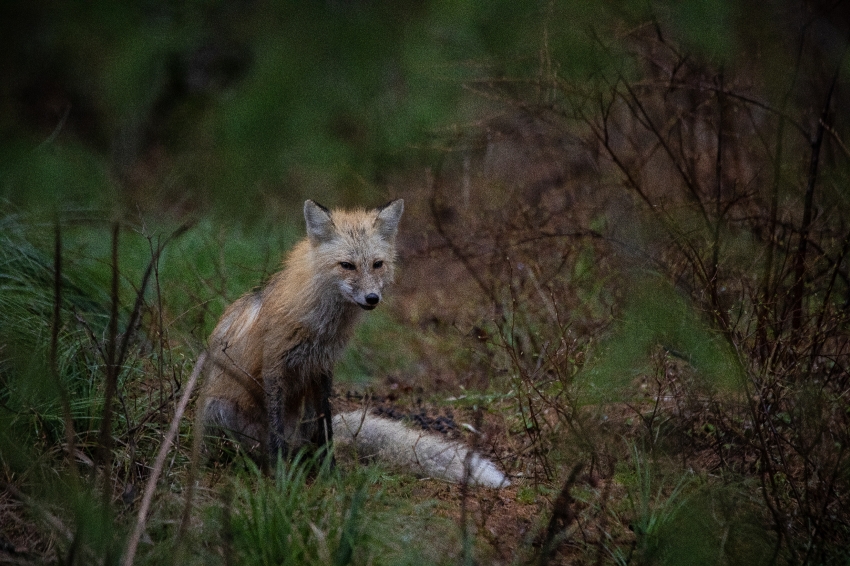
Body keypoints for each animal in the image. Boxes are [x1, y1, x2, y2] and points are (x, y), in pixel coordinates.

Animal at [202, 200, 506, 488]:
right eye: (347, 265)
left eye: (377, 264)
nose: (372, 298)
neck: (320, 326)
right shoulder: (275, 367)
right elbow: (277, 432)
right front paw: (280, 479)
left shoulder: (322, 369)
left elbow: (326, 430)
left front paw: (330, 474)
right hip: (219, 409)